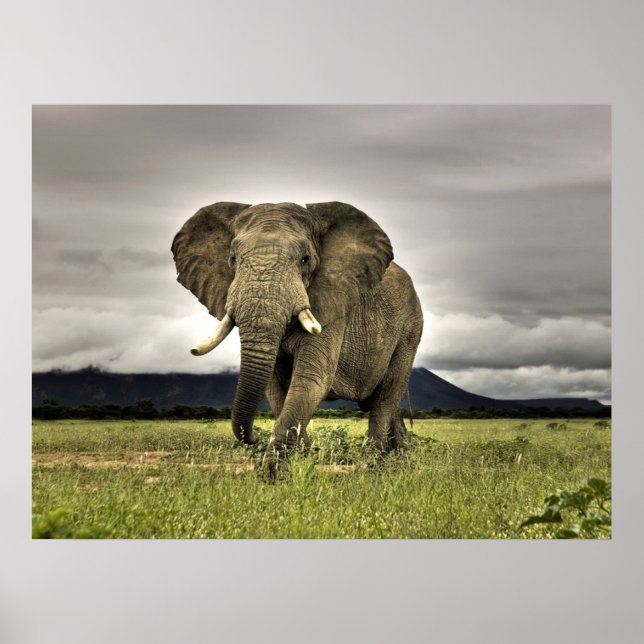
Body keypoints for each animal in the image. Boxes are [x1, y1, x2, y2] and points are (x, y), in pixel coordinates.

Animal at [171, 201, 423, 470]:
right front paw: (301, 460)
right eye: (233, 259)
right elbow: (275, 387)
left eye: (305, 259)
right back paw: (403, 458)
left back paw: (375, 464)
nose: (253, 435)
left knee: (386, 395)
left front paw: (273, 472)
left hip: (410, 328)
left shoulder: (332, 303)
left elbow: (312, 378)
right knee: (385, 402)